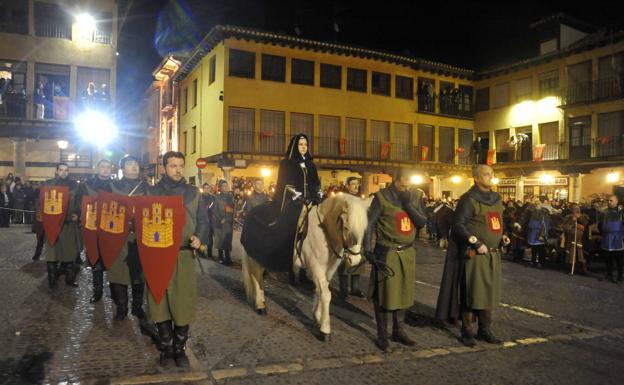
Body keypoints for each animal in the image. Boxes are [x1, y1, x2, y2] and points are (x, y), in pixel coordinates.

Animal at [243, 195, 370, 340]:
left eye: (364, 229)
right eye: (346, 227)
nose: (355, 260)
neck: (324, 232)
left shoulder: (327, 271)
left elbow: (320, 291)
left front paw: (318, 316)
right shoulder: (316, 268)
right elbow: (326, 294)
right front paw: (325, 330)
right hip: (255, 257)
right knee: (255, 276)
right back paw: (260, 305)